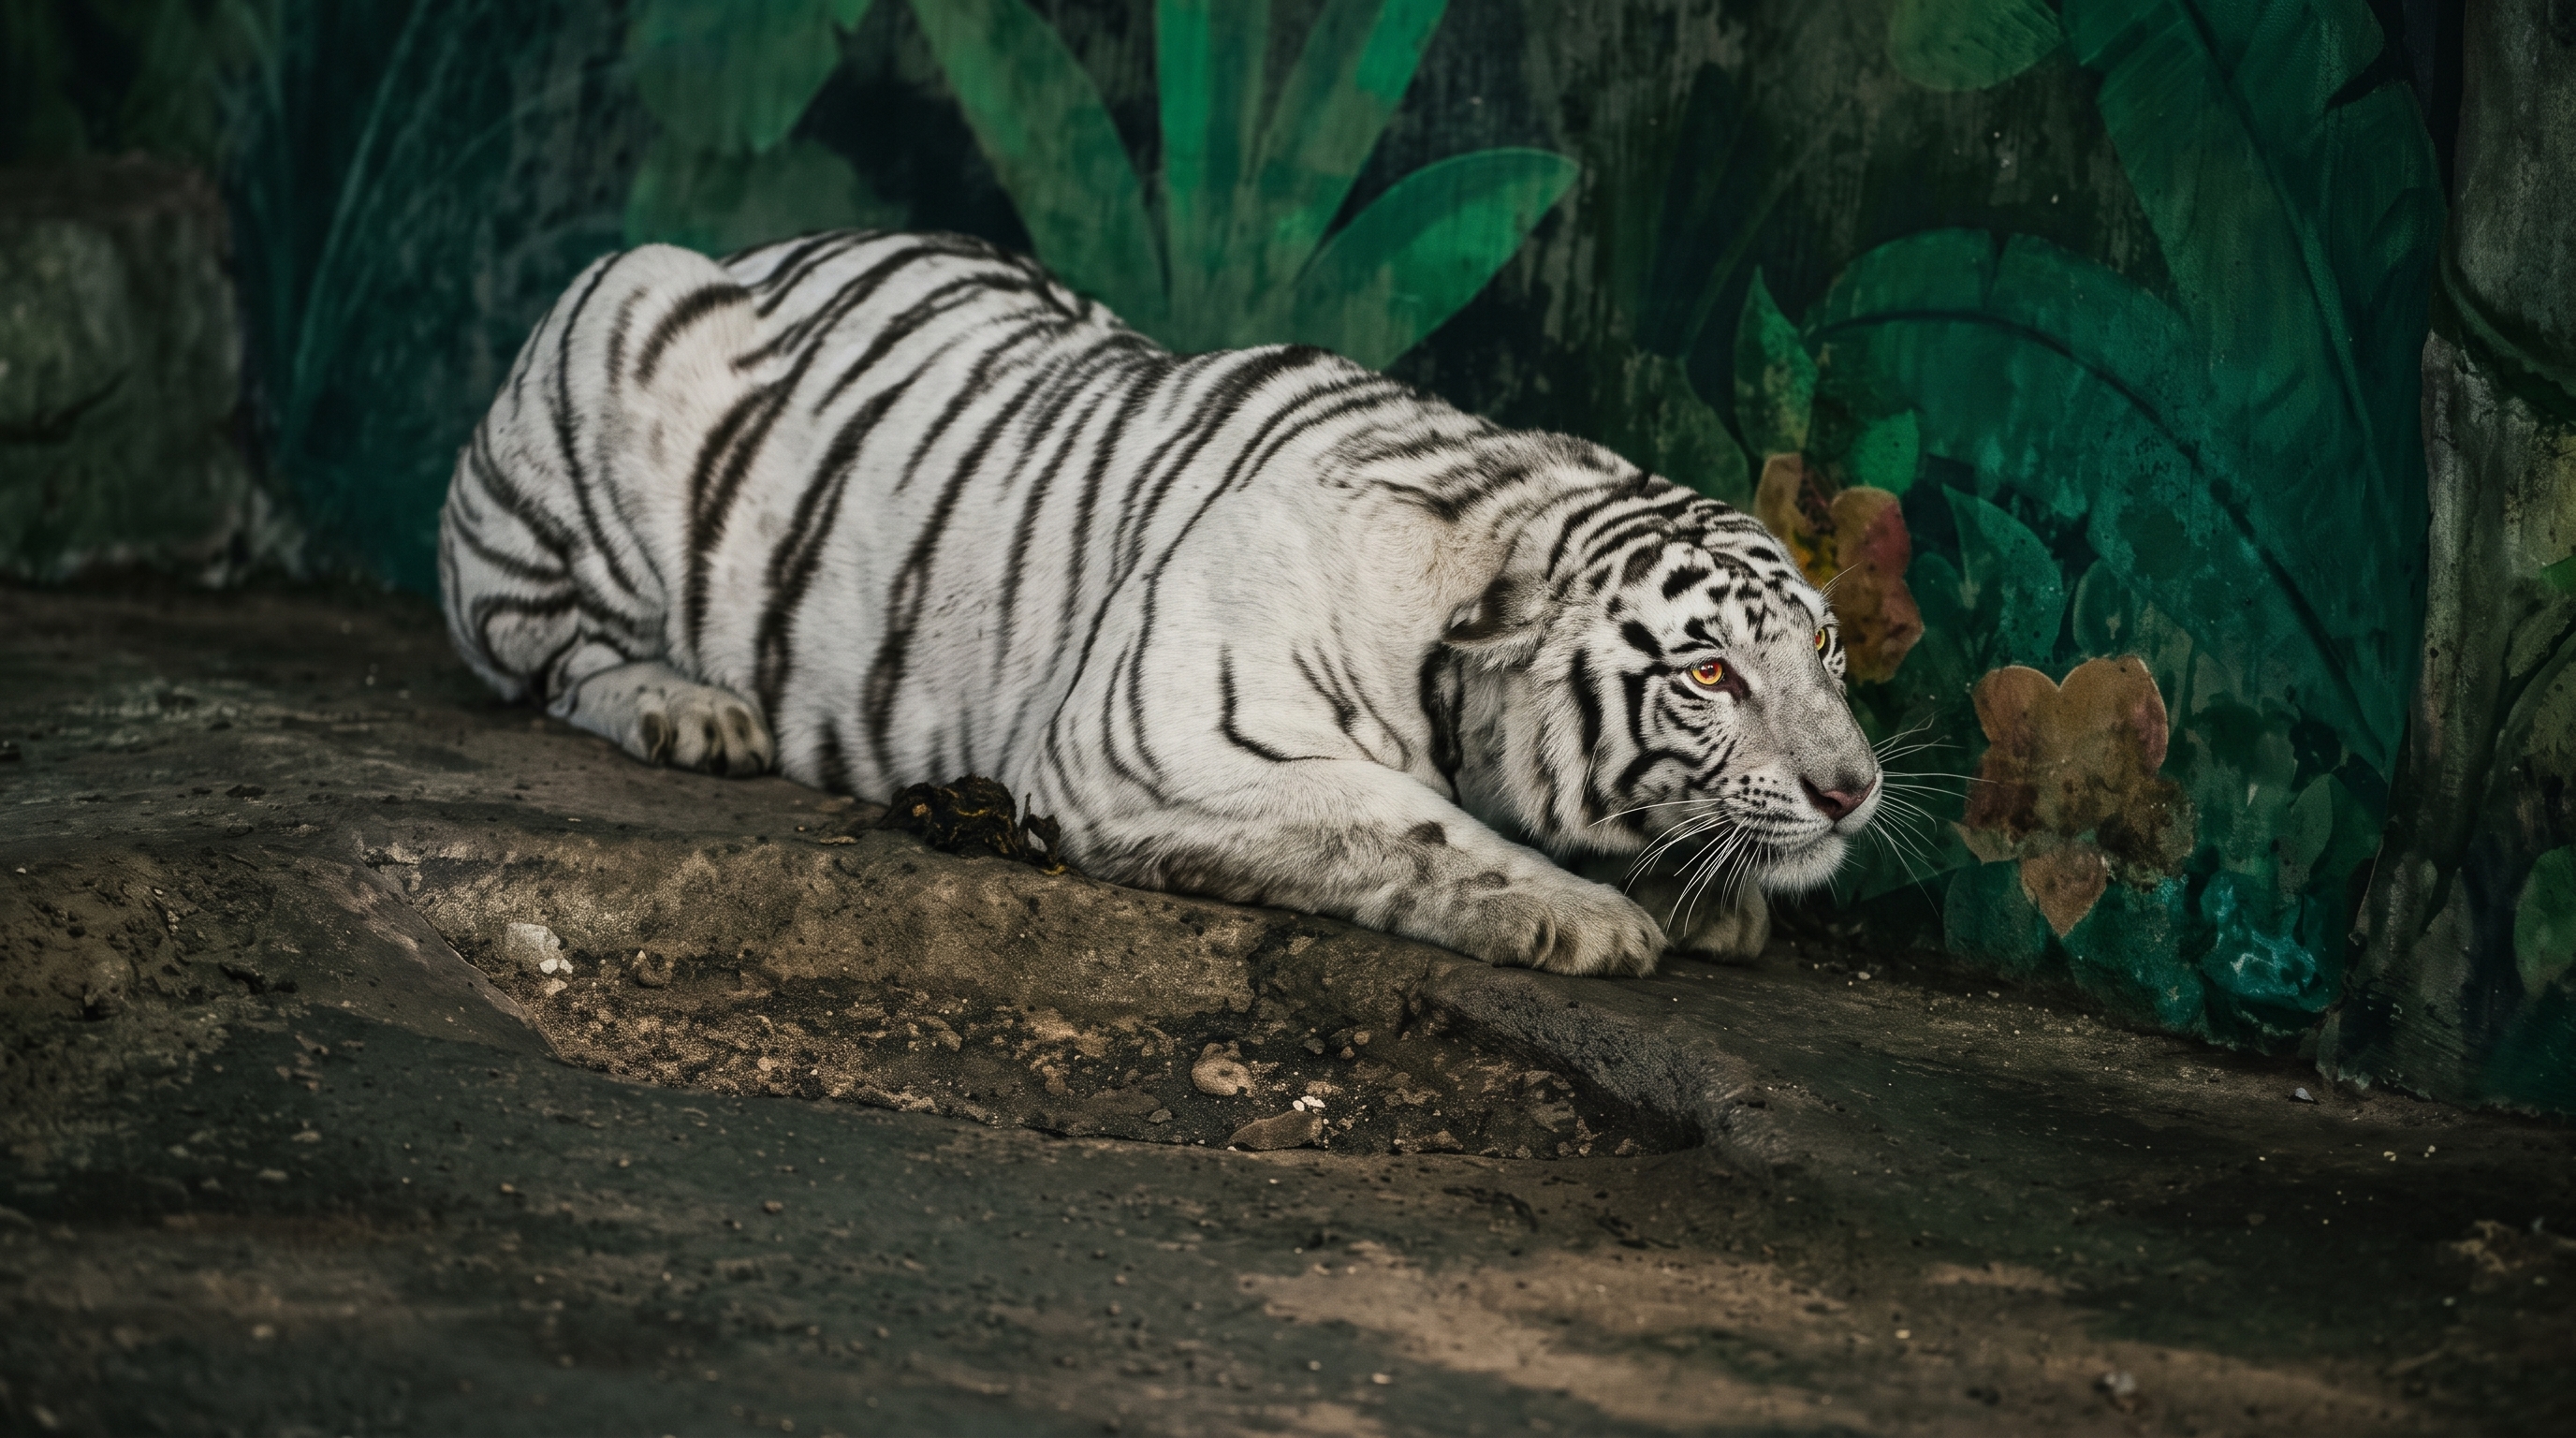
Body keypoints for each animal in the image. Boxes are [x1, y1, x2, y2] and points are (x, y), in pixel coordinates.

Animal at [438, 230, 1883, 976]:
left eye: (1825, 646)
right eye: (1708, 674)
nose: (1853, 791)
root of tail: (758, 246)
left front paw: (1708, 894)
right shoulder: (1165, 741)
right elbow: (1413, 827)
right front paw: (1592, 918)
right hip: (616, 325)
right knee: (550, 661)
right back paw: (691, 713)